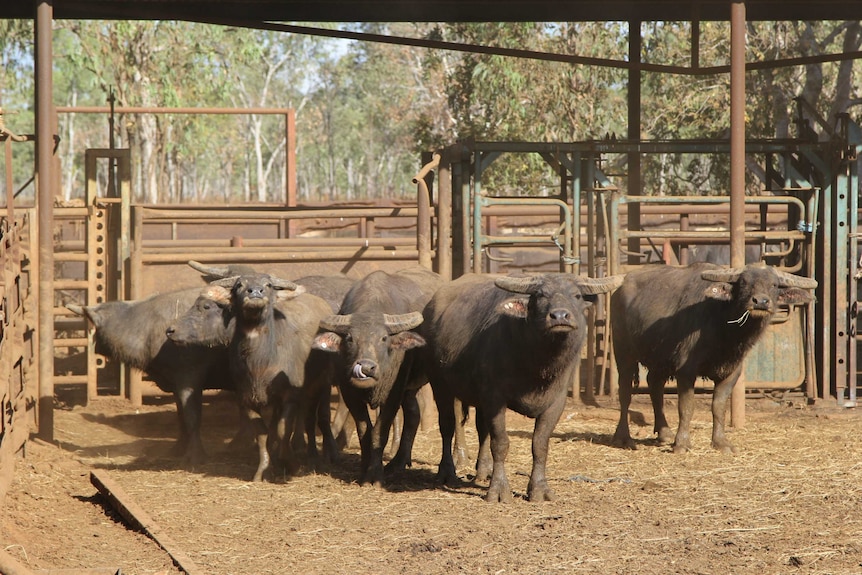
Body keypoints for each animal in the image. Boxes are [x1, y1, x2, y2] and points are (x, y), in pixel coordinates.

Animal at [312, 268, 446, 488]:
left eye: (383, 338)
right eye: (350, 339)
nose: (366, 368)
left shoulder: (393, 392)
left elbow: (379, 433)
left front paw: (375, 476)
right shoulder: (350, 394)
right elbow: (364, 431)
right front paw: (364, 472)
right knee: (413, 414)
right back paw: (398, 462)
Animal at [424, 272, 620, 502]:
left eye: (577, 295)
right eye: (540, 295)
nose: (560, 316)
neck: (538, 364)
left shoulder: (556, 401)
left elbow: (540, 444)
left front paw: (539, 489)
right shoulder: (494, 398)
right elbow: (500, 443)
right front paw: (498, 490)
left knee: (482, 430)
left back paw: (484, 470)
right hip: (440, 384)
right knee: (447, 426)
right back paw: (447, 473)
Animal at [612, 262, 820, 454]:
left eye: (774, 285)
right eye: (743, 283)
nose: (760, 301)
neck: (725, 331)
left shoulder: (731, 373)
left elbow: (718, 407)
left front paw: (721, 442)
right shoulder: (686, 371)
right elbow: (686, 407)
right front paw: (682, 444)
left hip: (660, 359)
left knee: (655, 385)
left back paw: (664, 433)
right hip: (623, 353)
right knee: (625, 393)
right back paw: (623, 438)